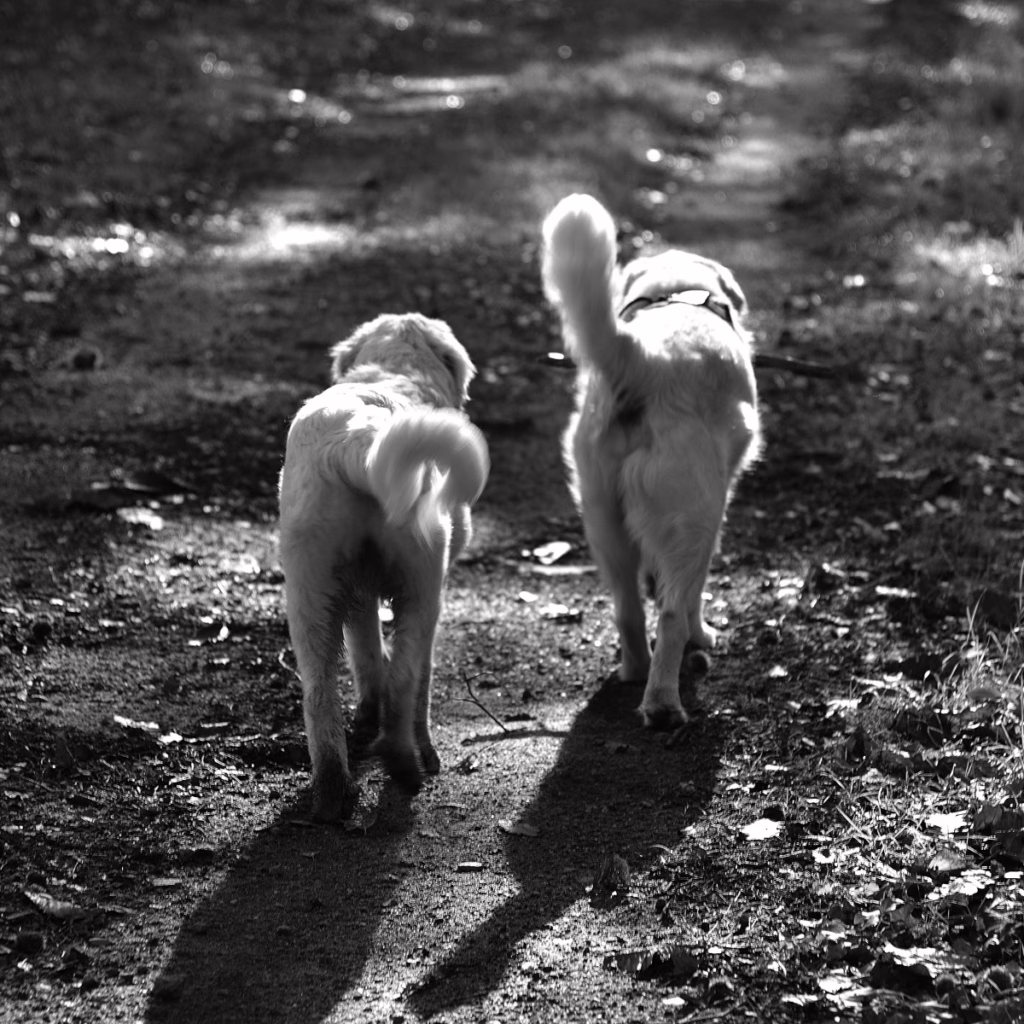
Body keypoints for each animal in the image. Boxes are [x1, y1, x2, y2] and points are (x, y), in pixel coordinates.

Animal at [278, 313, 489, 822]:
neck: (394, 374)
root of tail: (355, 441)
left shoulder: (358, 593)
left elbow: (367, 655)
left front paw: (364, 718)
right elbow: (411, 674)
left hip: (309, 588)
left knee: (319, 694)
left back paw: (332, 794)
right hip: (422, 582)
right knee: (407, 679)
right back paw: (407, 764)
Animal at [541, 194, 760, 729]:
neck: (678, 293)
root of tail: (642, 363)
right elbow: (692, 595)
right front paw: (704, 635)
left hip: (602, 519)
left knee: (627, 608)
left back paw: (634, 670)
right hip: (696, 517)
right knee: (672, 613)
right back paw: (662, 703)